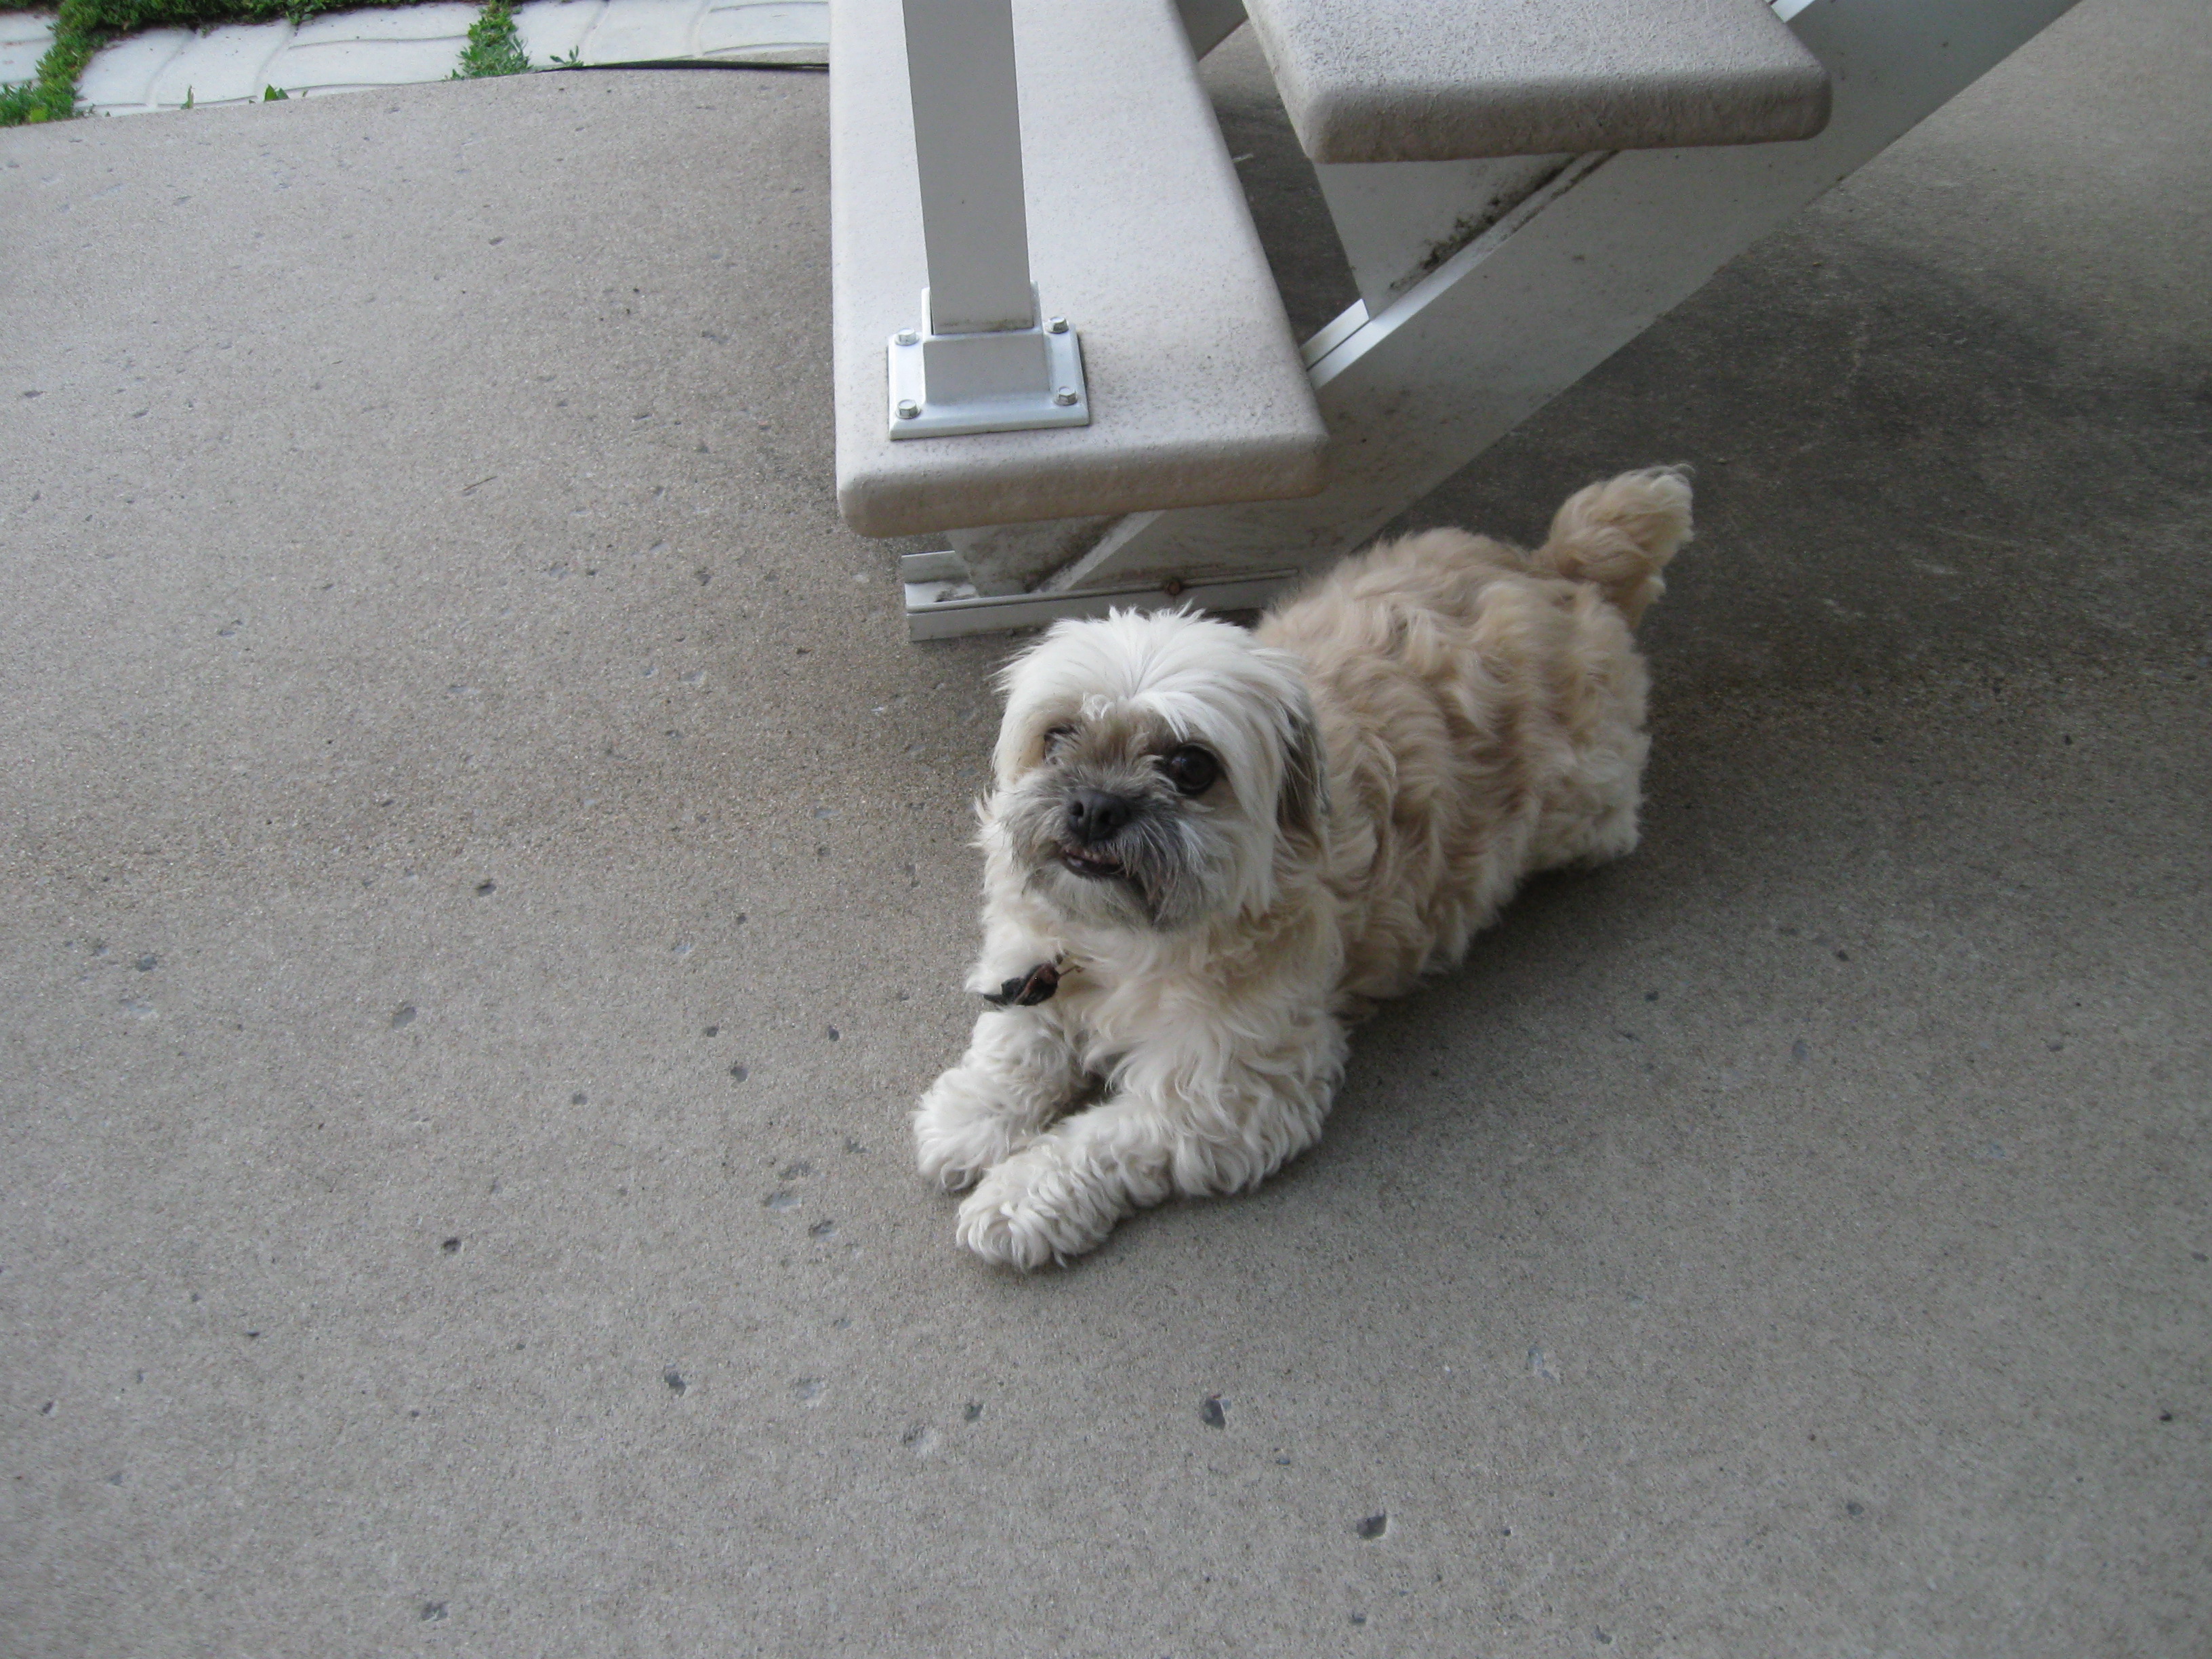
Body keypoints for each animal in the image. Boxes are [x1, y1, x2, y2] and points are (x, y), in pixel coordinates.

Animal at [913, 469, 1692, 1268]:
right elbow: (1016, 1047)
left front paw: (1017, 1195)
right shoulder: (1028, 964)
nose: (1097, 807)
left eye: (1191, 767)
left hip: (1581, 810)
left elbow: (1100, 1141)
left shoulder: (1227, 1096)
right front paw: (974, 1114)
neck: (1126, 943)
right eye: (1058, 735)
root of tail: (1553, 567)